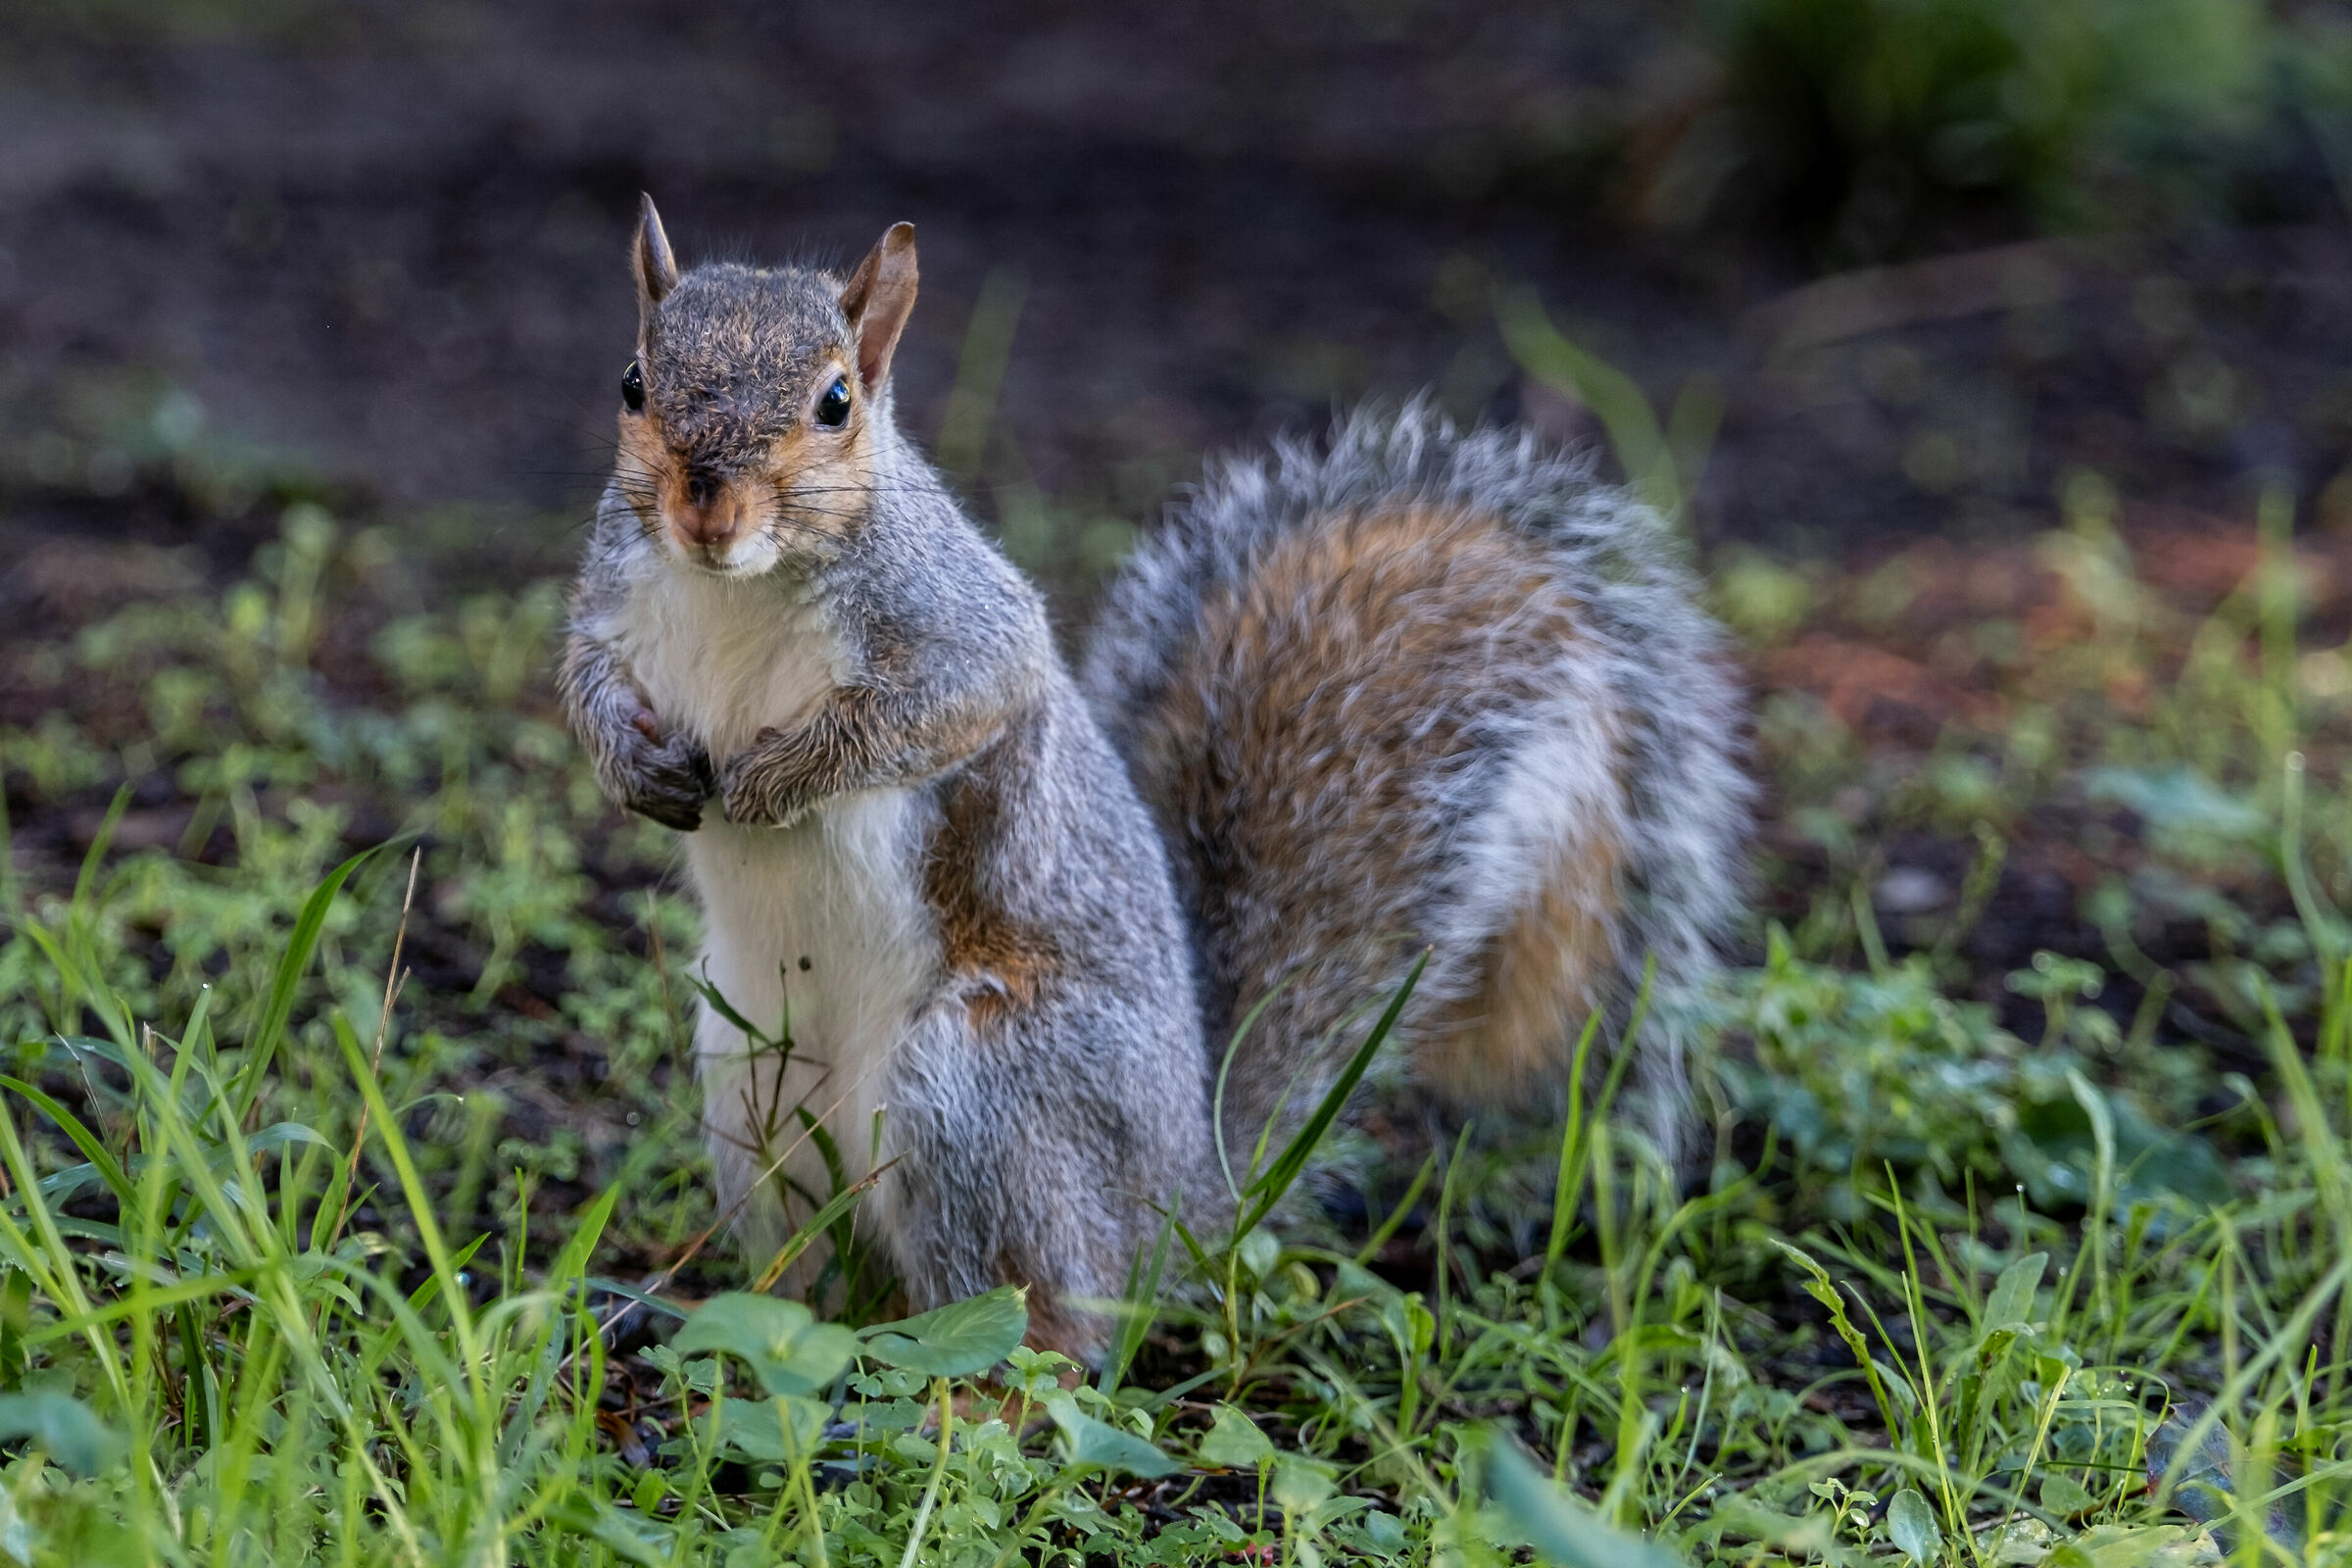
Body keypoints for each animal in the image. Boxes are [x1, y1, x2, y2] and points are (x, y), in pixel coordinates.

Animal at [560, 197, 1750, 1359]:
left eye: (836, 402)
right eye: (631, 381)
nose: (706, 507)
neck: (739, 588)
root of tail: (1175, 1200)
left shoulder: (957, 622)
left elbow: (940, 707)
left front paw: (776, 781)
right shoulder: (610, 597)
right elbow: (585, 685)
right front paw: (635, 766)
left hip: (977, 1095)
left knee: (1043, 1327)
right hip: (746, 1081)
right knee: (813, 1276)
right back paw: (720, 1319)